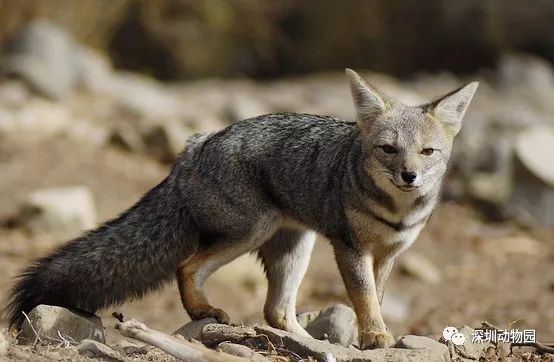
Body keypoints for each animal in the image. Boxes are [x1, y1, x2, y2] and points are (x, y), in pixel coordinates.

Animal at [4, 68, 476, 348]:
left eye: (427, 152)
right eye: (388, 150)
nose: (409, 176)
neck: (396, 211)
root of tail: (195, 146)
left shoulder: (389, 252)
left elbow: (373, 297)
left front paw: (369, 335)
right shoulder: (350, 247)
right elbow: (364, 298)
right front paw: (376, 335)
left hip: (294, 248)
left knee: (276, 312)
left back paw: (312, 346)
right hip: (252, 231)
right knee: (188, 267)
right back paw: (202, 311)